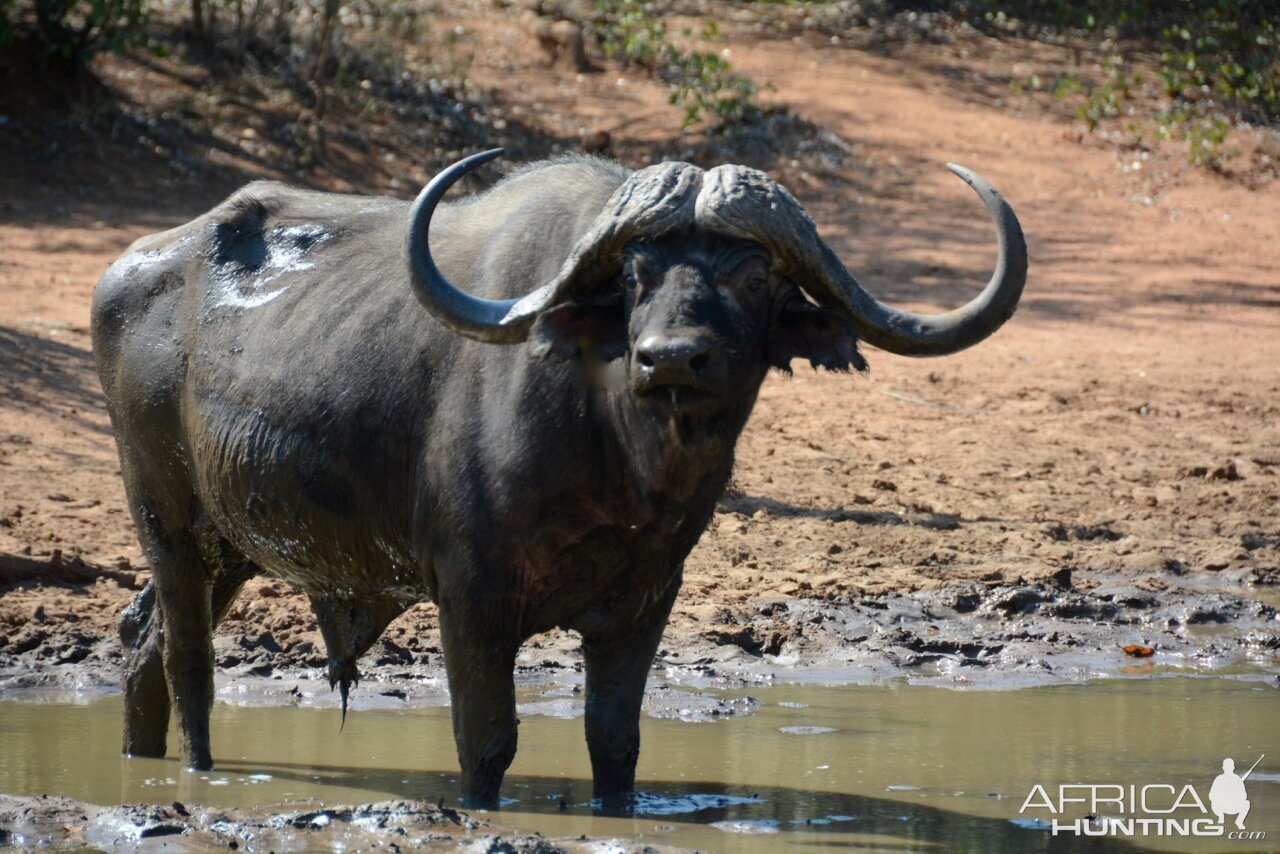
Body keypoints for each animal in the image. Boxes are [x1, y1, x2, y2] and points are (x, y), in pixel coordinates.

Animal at [92, 148, 1029, 809]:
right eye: (635, 275)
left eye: (754, 273)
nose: (670, 359)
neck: (620, 468)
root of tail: (134, 268)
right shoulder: (472, 599)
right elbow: (486, 742)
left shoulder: (645, 602)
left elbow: (615, 743)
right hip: (163, 517)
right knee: (187, 663)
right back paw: (199, 773)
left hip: (230, 543)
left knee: (141, 643)